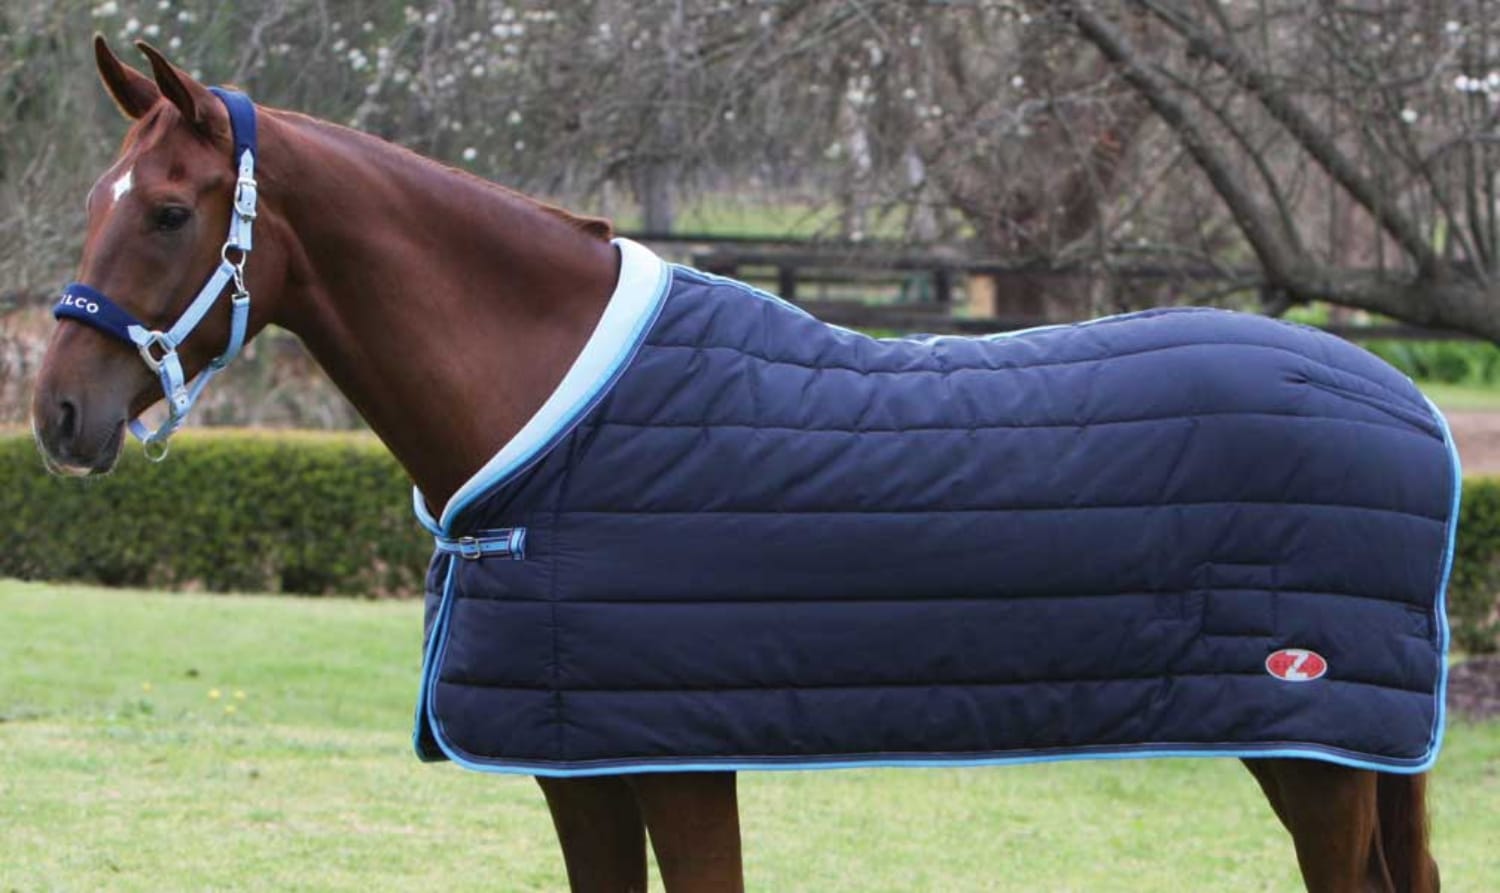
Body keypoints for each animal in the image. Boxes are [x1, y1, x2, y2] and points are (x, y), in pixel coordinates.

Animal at [30, 40, 1448, 893]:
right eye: (94, 201)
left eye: (169, 211)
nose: (55, 413)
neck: (552, 414)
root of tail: (1413, 404)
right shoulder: (583, 767)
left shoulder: (673, 758)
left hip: (1318, 753)